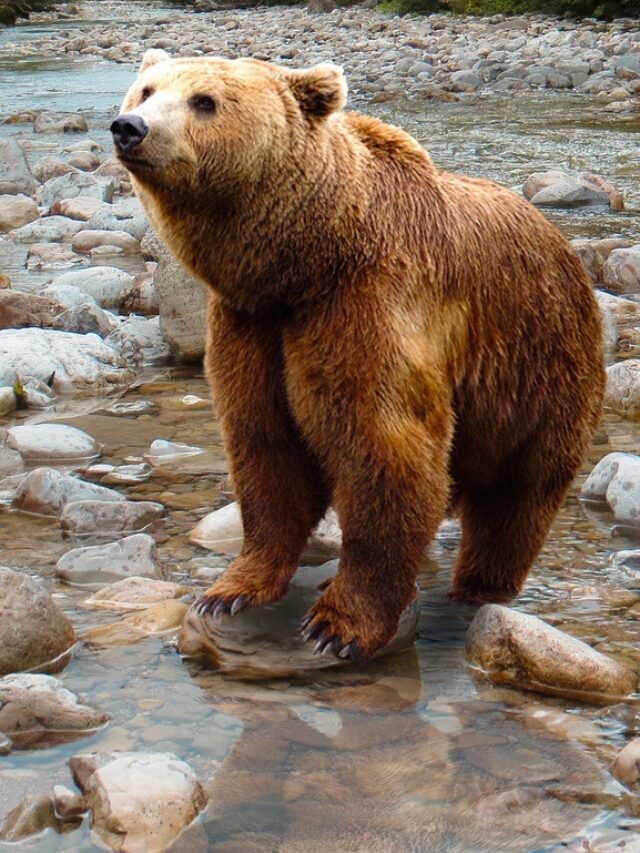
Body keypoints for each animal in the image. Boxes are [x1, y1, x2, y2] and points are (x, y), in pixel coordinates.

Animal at [112, 51, 605, 663]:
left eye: (205, 101)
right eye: (146, 90)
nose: (129, 127)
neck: (306, 260)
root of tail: (564, 245)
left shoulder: (366, 305)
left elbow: (384, 449)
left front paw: (338, 624)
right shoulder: (252, 326)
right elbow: (265, 447)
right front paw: (230, 590)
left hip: (539, 367)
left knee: (517, 496)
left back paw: (478, 586)